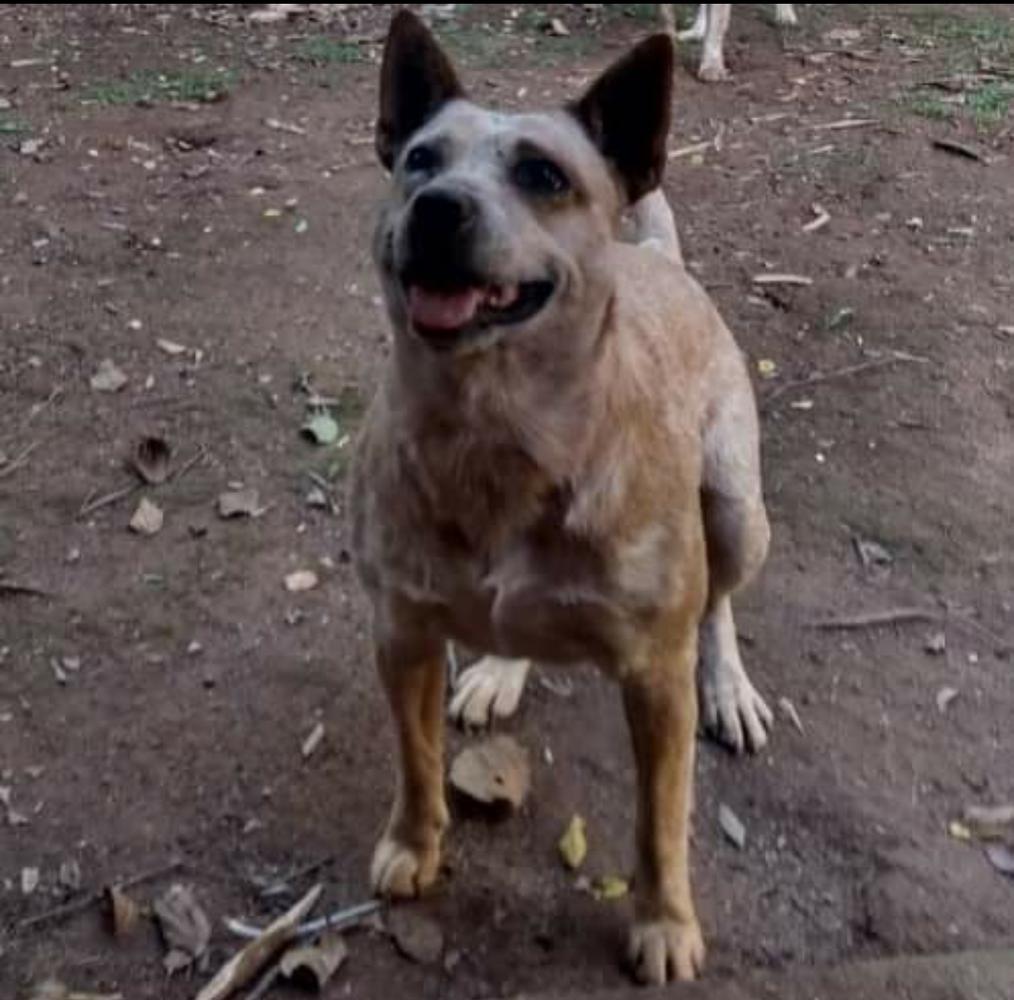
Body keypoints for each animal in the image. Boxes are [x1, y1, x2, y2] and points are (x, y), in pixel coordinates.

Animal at [352, 11, 770, 985]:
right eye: (420, 159)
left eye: (543, 175)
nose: (438, 208)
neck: (495, 436)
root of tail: (653, 258)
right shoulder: (402, 632)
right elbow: (416, 761)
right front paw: (413, 846)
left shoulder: (656, 680)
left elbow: (661, 824)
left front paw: (663, 925)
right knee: (519, 629)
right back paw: (501, 670)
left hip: (739, 511)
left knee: (721, 601)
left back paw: (730, 683)